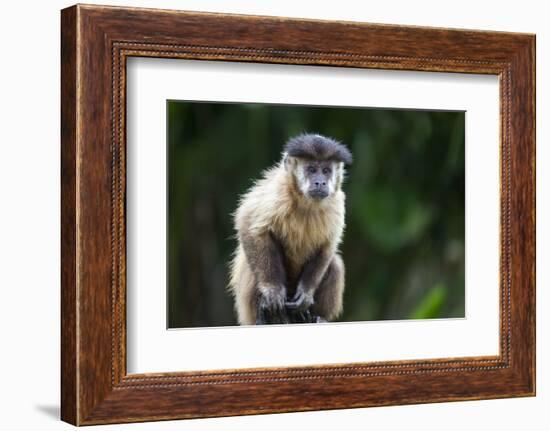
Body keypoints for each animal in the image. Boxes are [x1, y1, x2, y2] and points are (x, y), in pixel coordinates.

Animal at [230, 133, 354, 326]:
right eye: (311, 169)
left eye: (326, 170)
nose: (320, 182)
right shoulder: (278, 191)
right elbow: (248, 224)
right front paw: (273, 291)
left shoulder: (337, 202)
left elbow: (328, 246)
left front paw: (306, 294)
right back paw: (266, 316)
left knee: (334, 264)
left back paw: (317, 317)